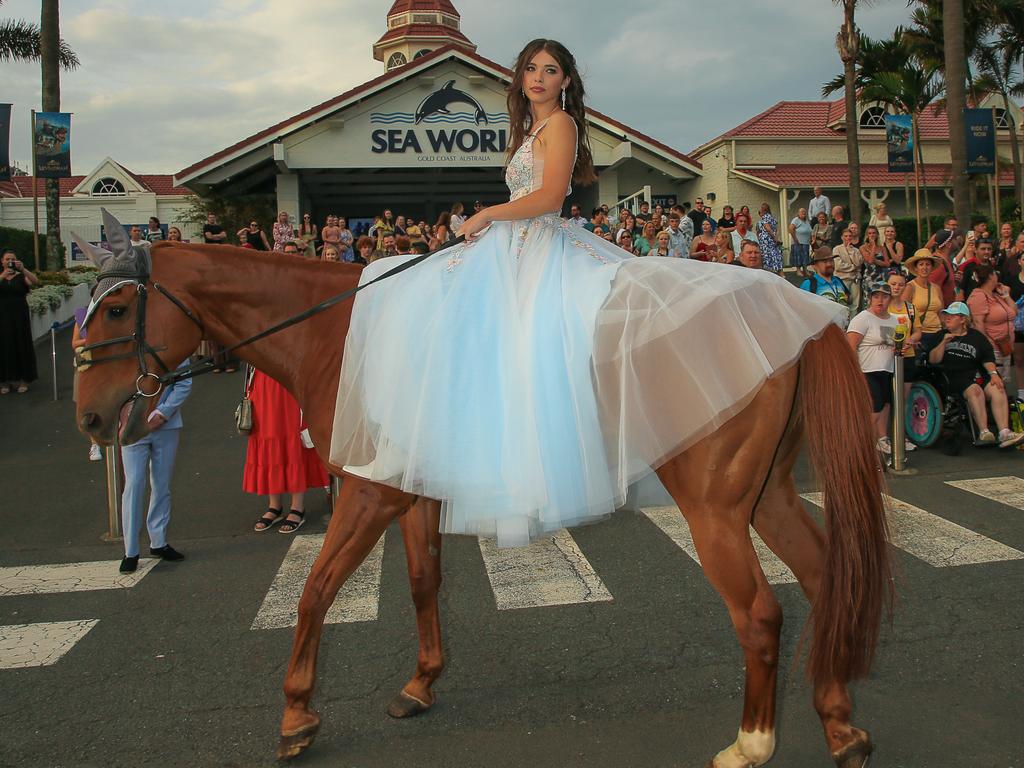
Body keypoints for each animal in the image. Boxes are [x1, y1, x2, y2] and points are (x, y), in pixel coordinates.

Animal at [74, 241, 888, 768]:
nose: (90, 417)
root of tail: (794, 309)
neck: (338, 333)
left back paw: (753, 742)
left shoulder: (366, 492)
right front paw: (420, 684)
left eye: (116, 309)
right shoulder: (412, 494)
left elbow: (314, 592)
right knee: (825, 578)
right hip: (767, 496)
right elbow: (421, 582)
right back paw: (840, 726)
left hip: (716, 512)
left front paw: (297, 714)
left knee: (760, 615)